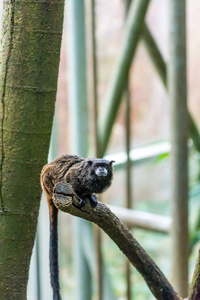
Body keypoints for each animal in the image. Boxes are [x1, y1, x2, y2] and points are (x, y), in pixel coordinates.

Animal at [40, 155, 114, 300]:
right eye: (97, 166)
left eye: (104, 166)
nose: (101, 169)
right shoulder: (75, 175)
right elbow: (70, 179)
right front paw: (80, 196)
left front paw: (90, 196)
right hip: (49, 180)